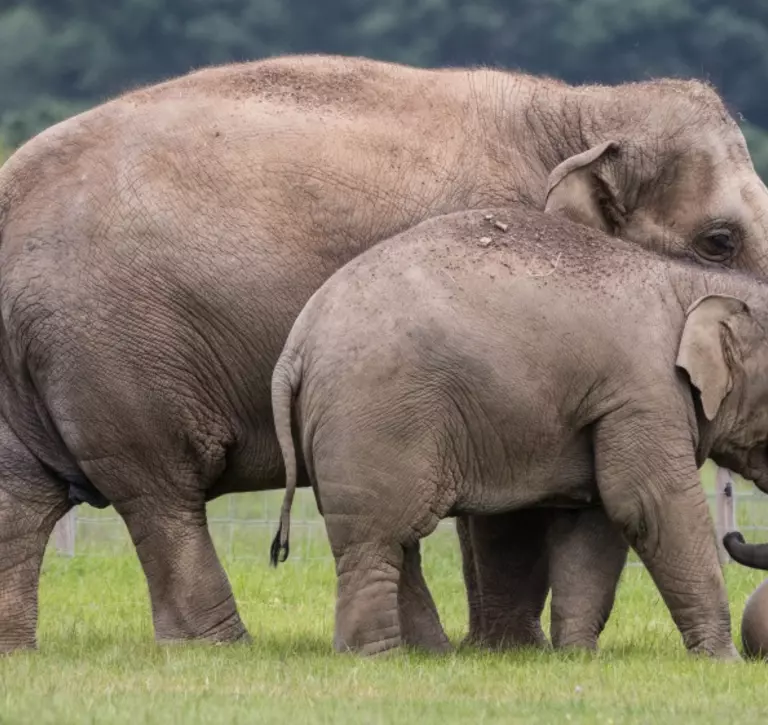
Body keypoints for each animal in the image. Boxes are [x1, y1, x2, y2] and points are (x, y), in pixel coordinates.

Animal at [272, 202, 768, 656]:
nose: (736, 535)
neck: (696, 283)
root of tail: (295, 347)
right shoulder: (645, 391)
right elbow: (648, 503)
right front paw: (721, 661)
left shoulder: (606, 404)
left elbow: (596, 519)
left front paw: (578, 657)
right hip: (377, 417)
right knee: (377, 542)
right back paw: (377, 658)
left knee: (399, 544)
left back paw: (431, 655)